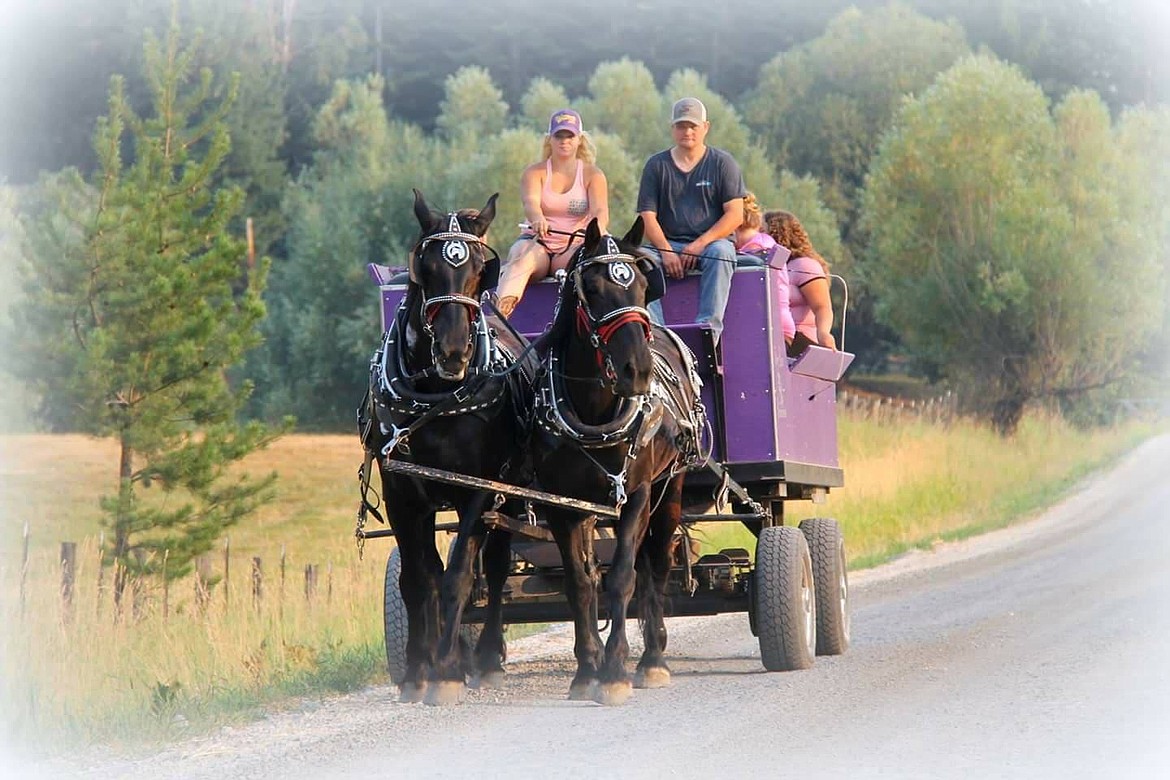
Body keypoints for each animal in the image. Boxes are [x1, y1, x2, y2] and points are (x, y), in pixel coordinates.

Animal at [358, 190, 535, 706]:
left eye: (479, 269)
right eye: (427, 268)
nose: (455, 351)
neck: (437, 395)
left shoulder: (477, 490)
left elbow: (459, 576)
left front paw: (449, 672)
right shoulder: (402, 492)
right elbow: (419, 580)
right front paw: (421, 668)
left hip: (508, 494)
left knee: (493, 568)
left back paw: (488, 657)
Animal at [531, 216, 702, 706]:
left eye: (644, 285)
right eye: (592, 288)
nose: (637, 371)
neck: (594, 410)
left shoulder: (637, 495)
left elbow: (623, 577)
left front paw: (614, 672)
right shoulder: (562, 505)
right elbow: (580, 582)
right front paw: (586, 670)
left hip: (669, 489)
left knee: (656, 566)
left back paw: (653, 659)